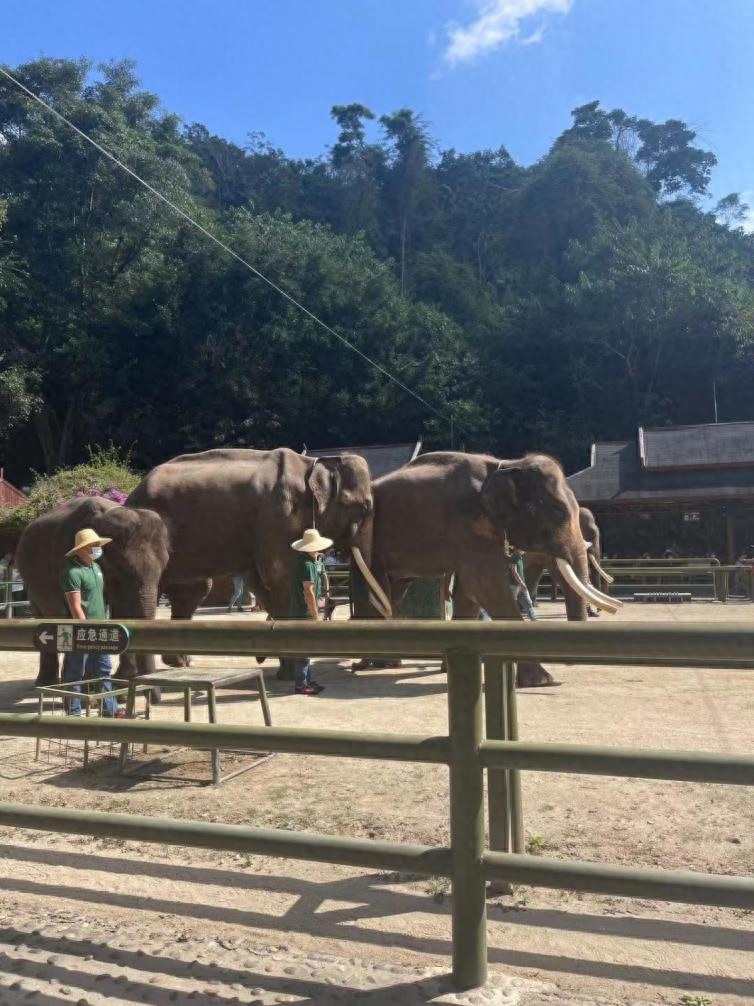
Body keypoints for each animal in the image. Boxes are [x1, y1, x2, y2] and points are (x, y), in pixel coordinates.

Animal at [15, 498, 169, 688]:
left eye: (165, 564)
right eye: (121, 566)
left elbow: (122, 611)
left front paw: (121, 683)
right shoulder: (64, 559)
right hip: (30, 582)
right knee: (45, 616)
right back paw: (48, 684)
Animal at [349, 452, 619, 688]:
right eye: (558, 514)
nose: (569, 662)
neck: (507, 465)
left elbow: (470, 593)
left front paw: (453, 667)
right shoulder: (468, 524)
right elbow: (485, 586)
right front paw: (542, 681)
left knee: (393, 591)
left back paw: (379, 661)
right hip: (365, 538)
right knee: (374, 588)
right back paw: (373, 664)